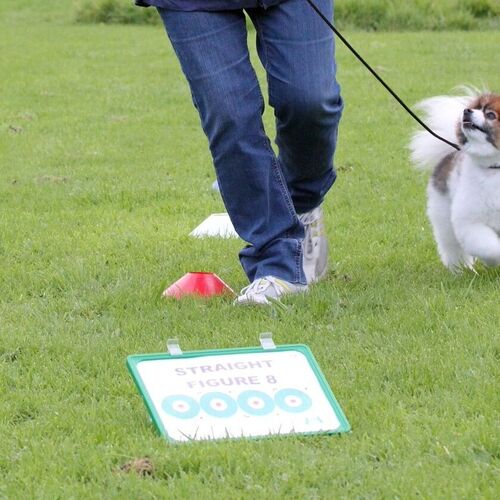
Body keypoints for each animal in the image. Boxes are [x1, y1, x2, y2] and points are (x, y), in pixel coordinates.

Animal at [410, 90, 500, 270]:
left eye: (490, 115)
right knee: (451, 245)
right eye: (476, 108)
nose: (467, 111)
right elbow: (491, 248)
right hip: (443, 216)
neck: (494, 169)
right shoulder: (470, 222)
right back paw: (460, 269)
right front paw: (493, 261)